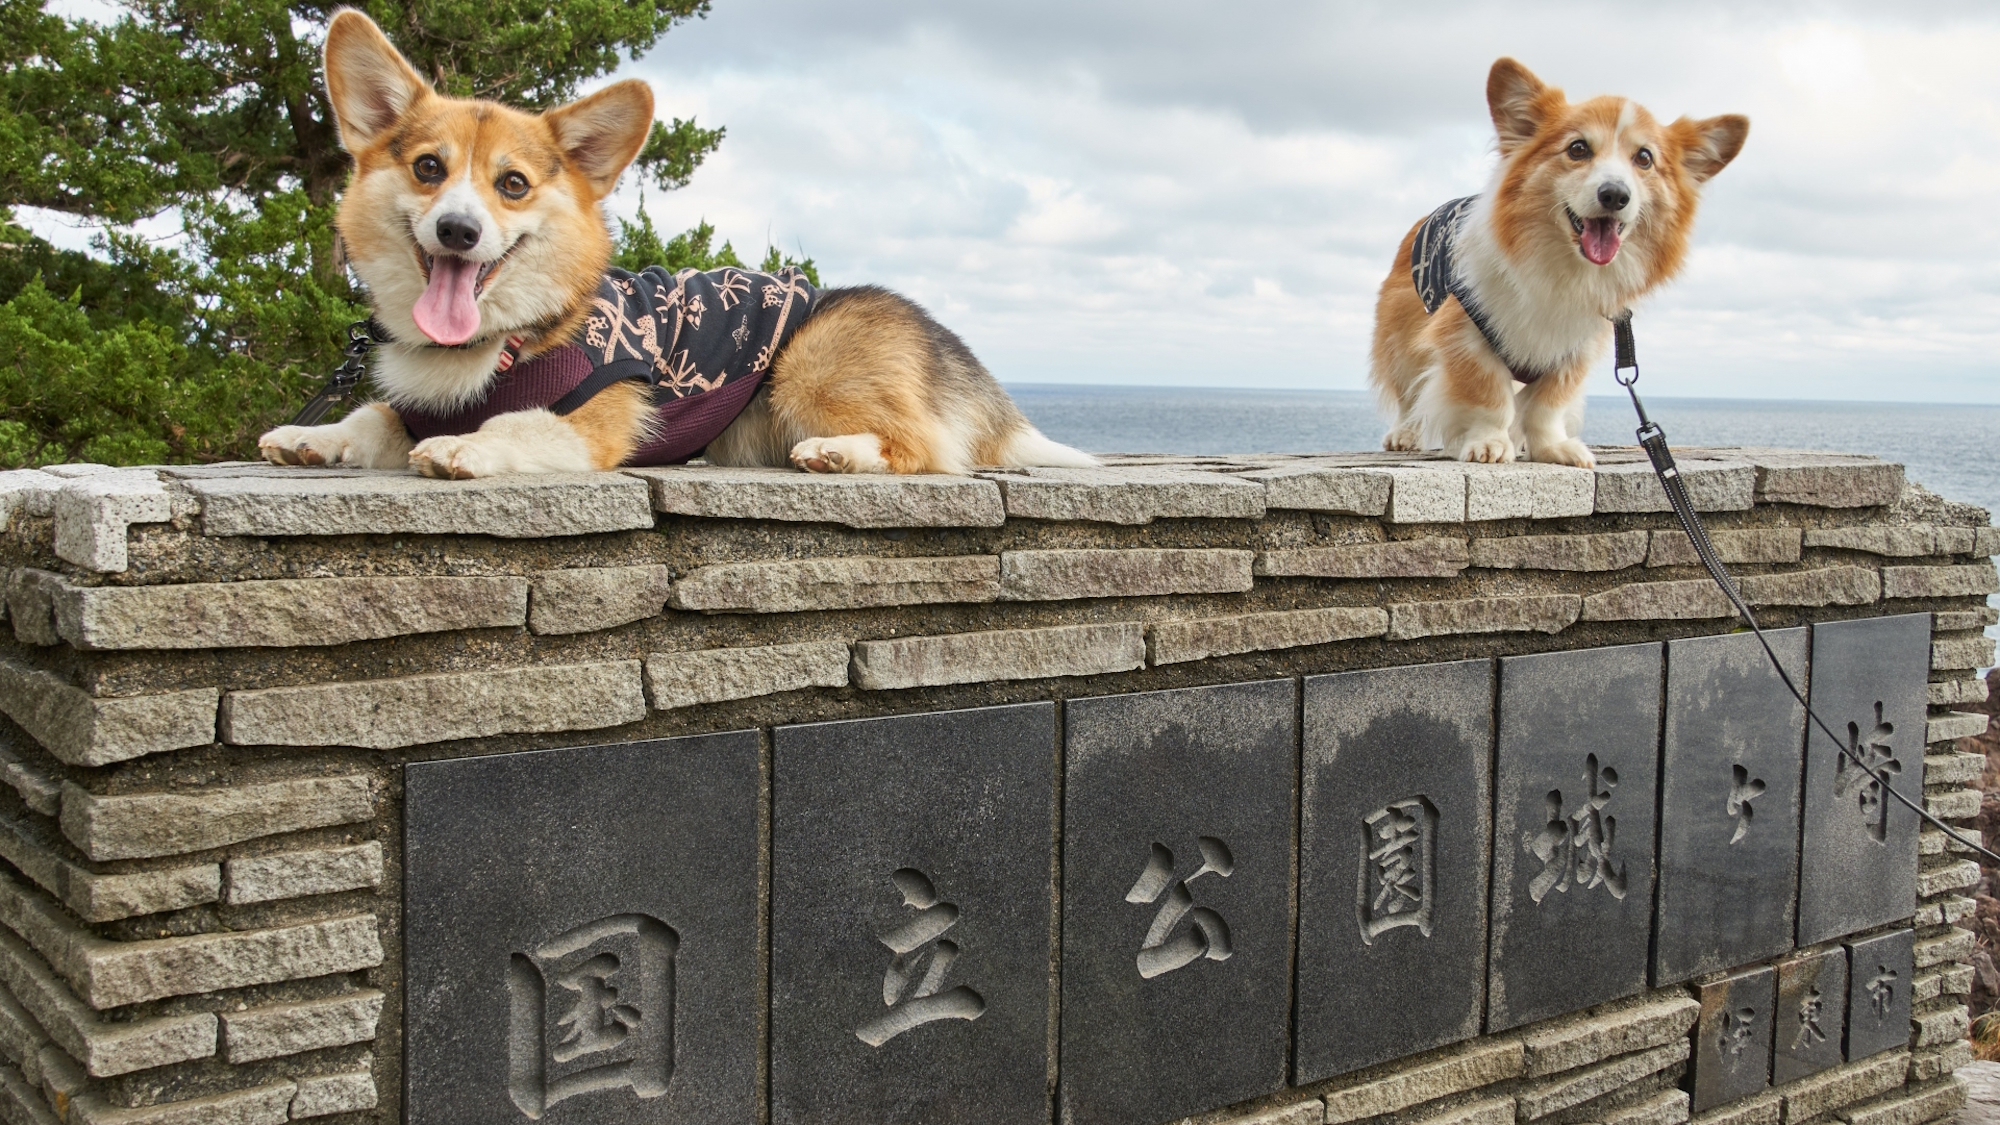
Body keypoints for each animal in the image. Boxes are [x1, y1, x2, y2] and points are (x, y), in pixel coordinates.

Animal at [258, 12, 1096, 476]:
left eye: (513, 184)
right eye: (429, 168)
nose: (457, 230)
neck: (512, 338)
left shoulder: (598, 420)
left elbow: (517, 424)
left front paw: (464, 448)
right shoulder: (409, 407)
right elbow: (370, 418)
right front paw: (310, 437)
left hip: (805, 366)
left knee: (928, 449)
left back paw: (837, 452)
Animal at [1368, 60, 1744, 464]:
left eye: (1644, 158)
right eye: (1577, 149)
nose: (1615, 194)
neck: (1563, 268)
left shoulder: (1575, 351)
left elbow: (1546, 405)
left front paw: (1551, 447)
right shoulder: (1464, 332)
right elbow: (1489, 394)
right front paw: (1489, 442)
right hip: (1401, 339)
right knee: (1410, 393)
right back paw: (1404, 434)